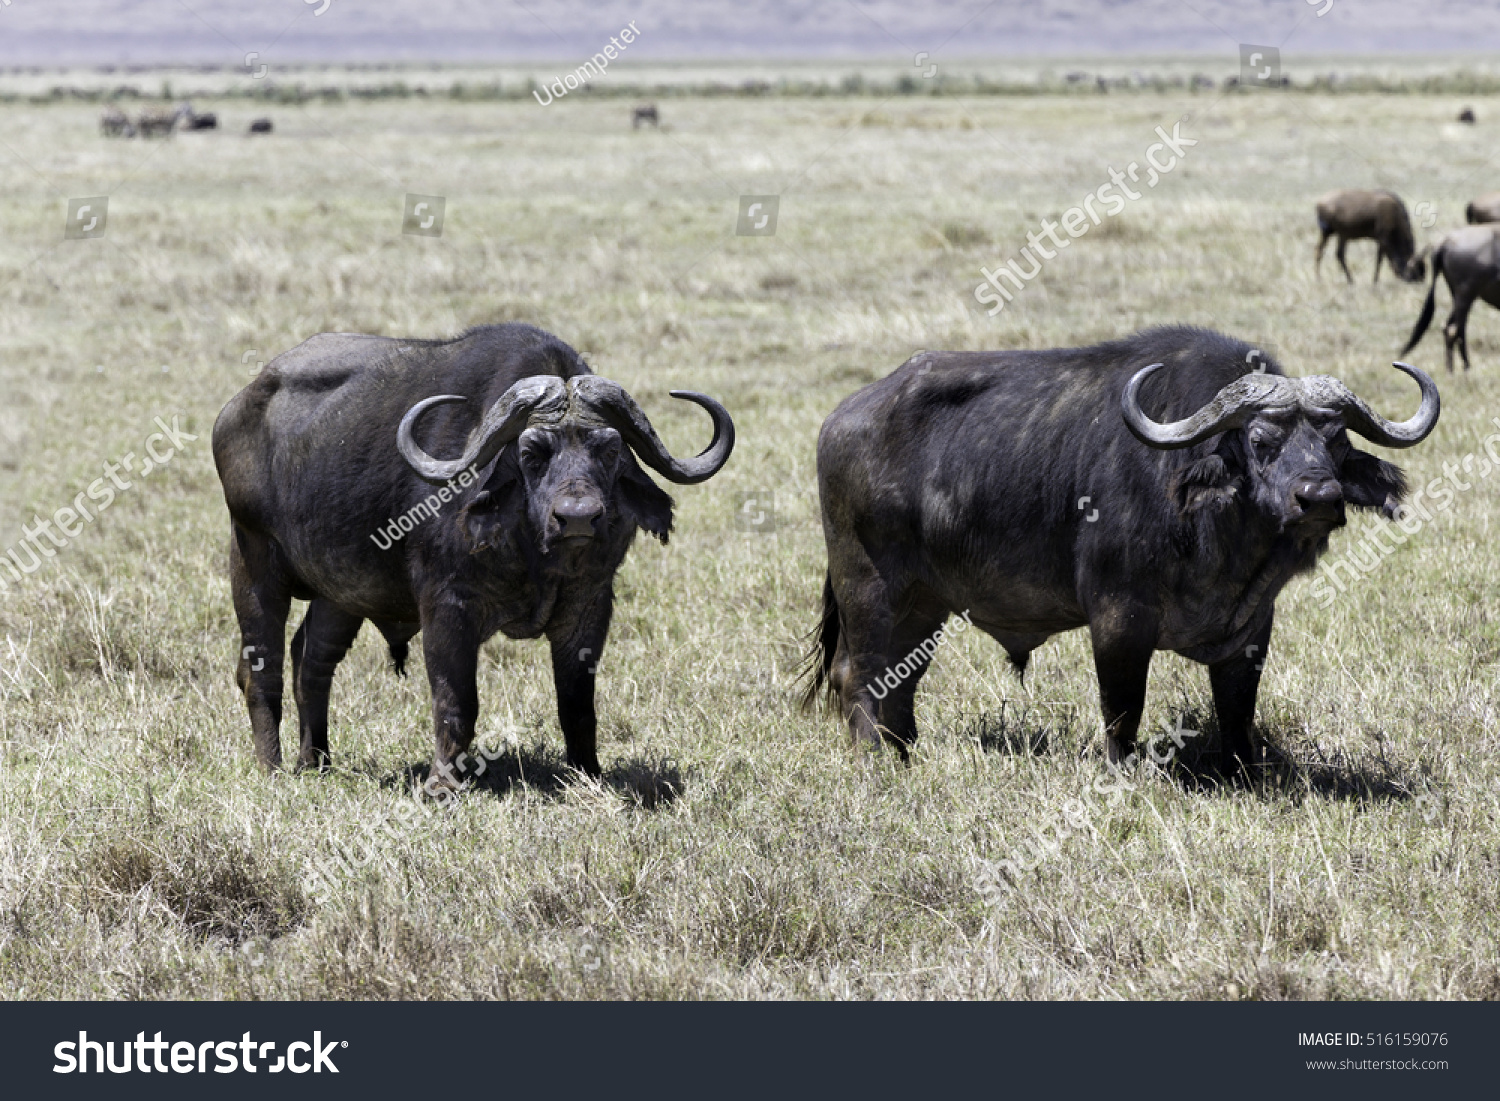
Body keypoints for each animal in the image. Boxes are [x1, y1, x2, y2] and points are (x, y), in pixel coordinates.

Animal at [214, 325, 735, 786]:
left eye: (608, 450)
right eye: (532, 451)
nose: (578, 518)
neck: (536, 558)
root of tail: (238, 407)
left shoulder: (590, 606)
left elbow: (577, 706)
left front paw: (588, 775)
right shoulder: (447, 609)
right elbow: (457, 703)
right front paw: (442, 786)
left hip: (341, 593)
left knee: (312, 661)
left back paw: (316, 762)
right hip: (252, 557)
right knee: (261, 668)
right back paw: (273, 770)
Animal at [804, 327, 1434, 774]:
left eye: (1336, 441)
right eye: (1261, 440)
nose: (1319, 498)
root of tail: (842, 418)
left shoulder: (1254, 624)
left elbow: (1237, 711)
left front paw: (1243, 773)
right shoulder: (1118, 618)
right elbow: (1122, 707)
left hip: (925, 603)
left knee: (900, 679)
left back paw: (904, 751)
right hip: (867, 585)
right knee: (857, 671)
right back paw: (874, 758)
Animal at [1398, 223, 1500, 370]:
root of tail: (1444, 242)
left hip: (1458, 296)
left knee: (1450, 327)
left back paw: (1452, 369)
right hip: (1466, 295)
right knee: (1455, 329)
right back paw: (1465, 367)